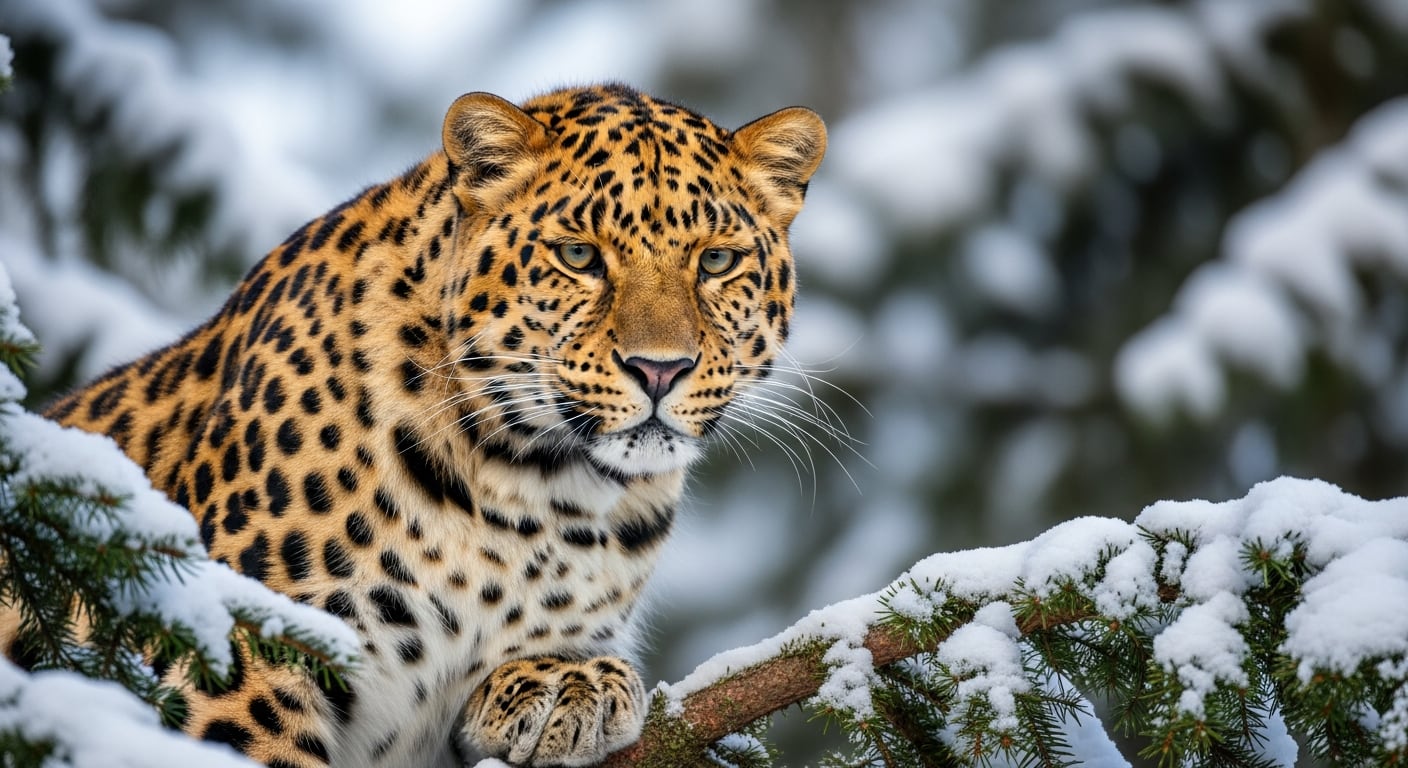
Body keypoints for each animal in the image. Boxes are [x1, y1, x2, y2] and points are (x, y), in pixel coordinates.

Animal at [21, 83, 825, 767]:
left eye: (716, 261)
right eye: (578, 256)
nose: (660, 370)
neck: (536, 493)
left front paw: (569, 684)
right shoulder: (239, 657)